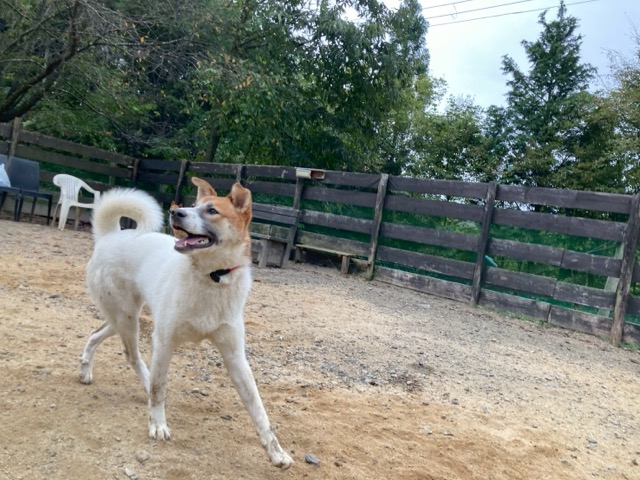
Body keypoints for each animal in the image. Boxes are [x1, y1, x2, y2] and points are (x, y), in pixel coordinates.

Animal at [79, 177, 293, 469]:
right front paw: (157, 425)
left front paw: (276, 452)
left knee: (96, 333)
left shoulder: (235, 357)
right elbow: (159, 388)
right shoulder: (164, 341)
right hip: (128, 319)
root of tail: (109, 235)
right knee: (133, 356)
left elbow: (258, 409)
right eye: (192, 205)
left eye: (212, 210)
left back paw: (86, 370)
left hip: (124, 318)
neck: (212, 276)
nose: (175, 212)